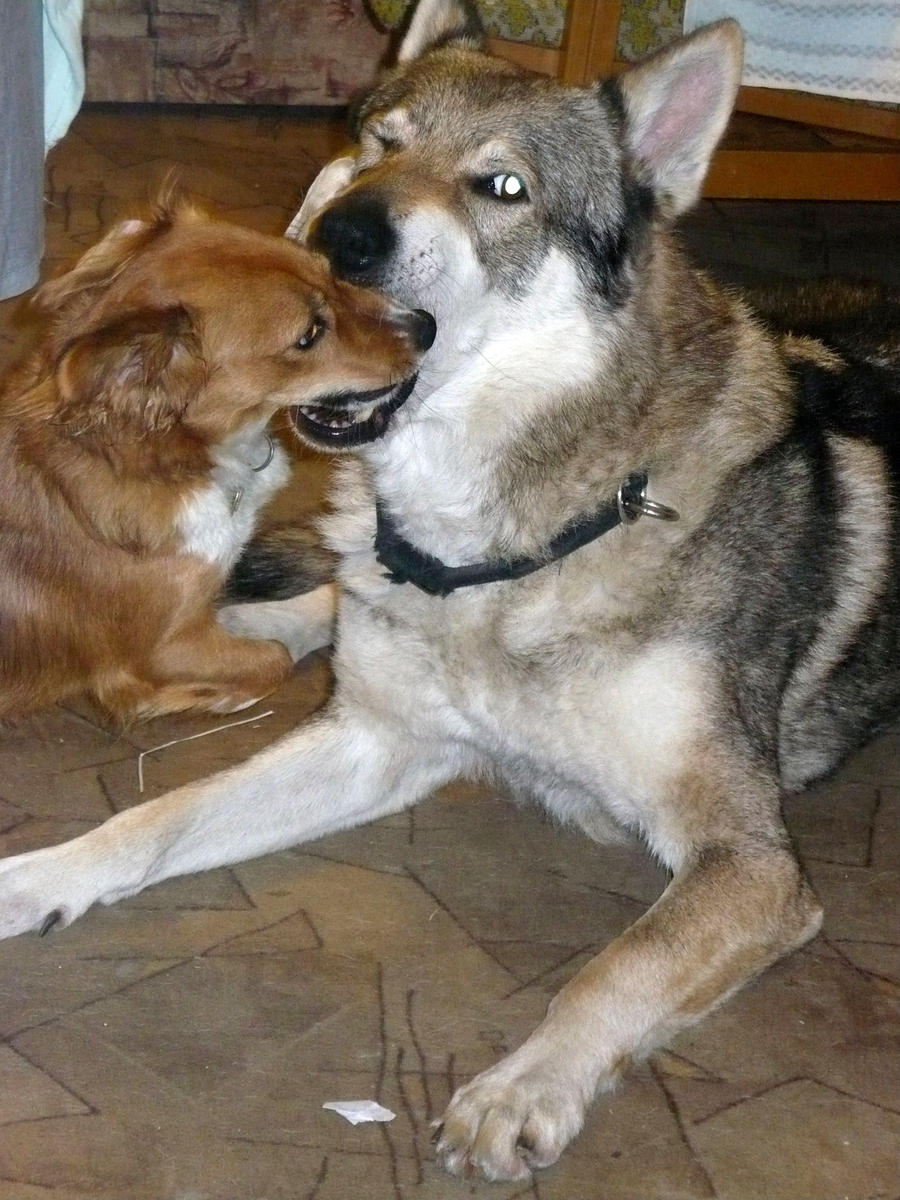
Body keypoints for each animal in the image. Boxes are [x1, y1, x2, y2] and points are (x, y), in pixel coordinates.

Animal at [0, 204, 434, 720]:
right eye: (309, 335)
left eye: (330, 273)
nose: (427, 326)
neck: (169, 459)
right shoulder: (160, 650)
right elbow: (273, 659)